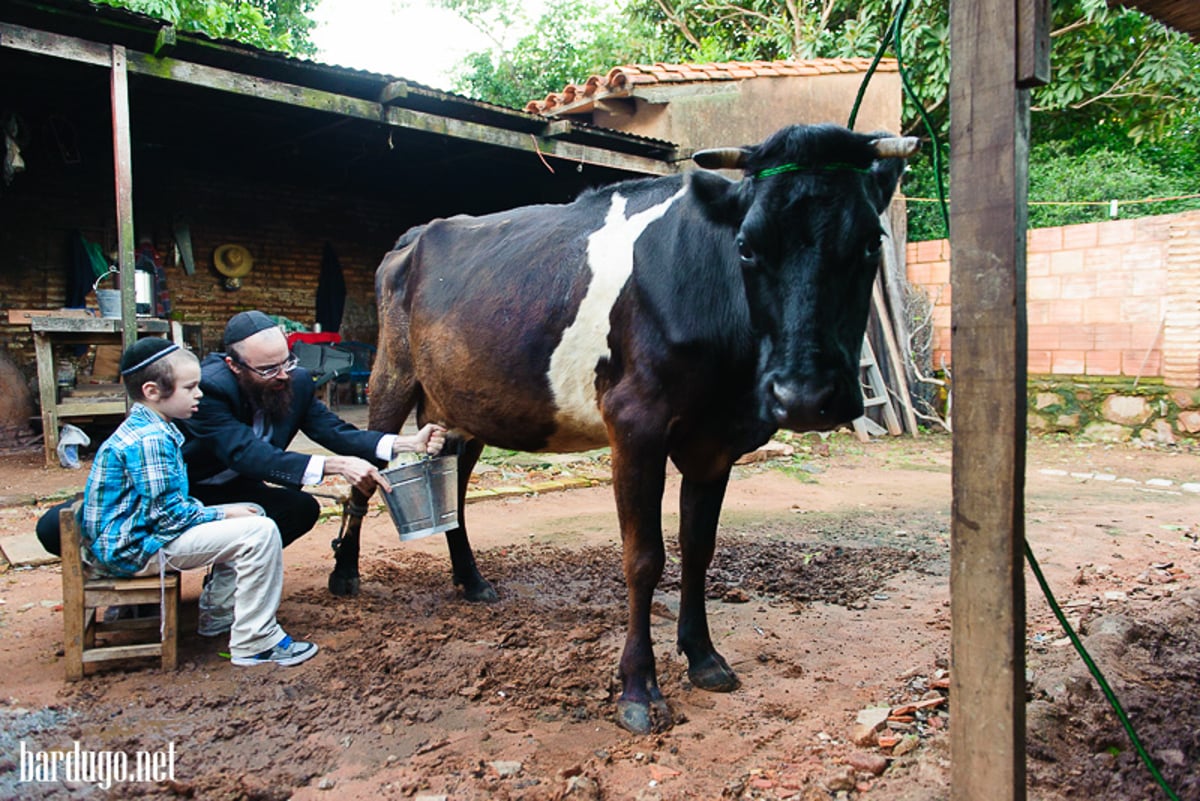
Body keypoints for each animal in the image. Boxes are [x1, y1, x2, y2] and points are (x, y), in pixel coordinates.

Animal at [328, 123, 916, 733]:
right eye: (747, 246)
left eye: (871, 242)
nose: (805, 396)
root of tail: (418, 232)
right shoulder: (635, 423)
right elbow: (644, 558)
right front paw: (639, 689)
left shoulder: (716, 441)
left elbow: (698, 547)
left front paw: (704, 657)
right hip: (392, 373)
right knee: (365, 471)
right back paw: (344, 574)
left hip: (462, 404)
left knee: (454, 483)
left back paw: (471, 580)